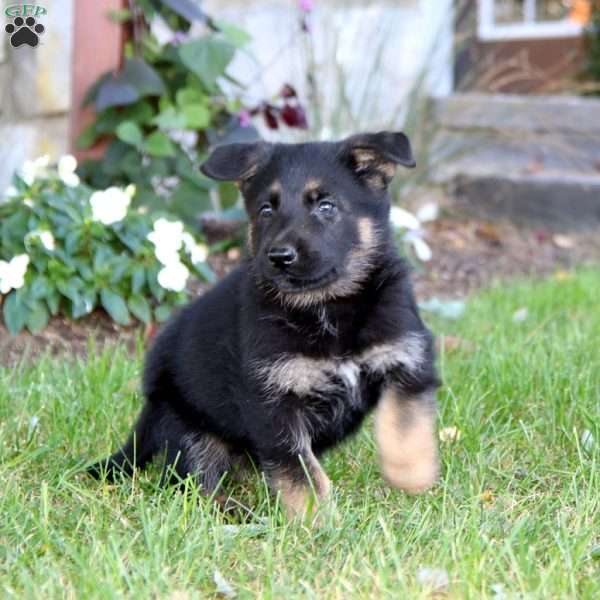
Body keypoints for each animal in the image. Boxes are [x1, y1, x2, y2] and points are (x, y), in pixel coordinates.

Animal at [91, 134, 442, 516]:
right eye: (266, 210)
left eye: (326, 206)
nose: (279, 256)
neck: (326, 307)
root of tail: (149, 413)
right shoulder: (273, 402)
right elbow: (300, 472)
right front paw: (319, 519)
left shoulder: (406, 358)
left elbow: (405, 422)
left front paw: (411, 474)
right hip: (186, 425)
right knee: (190, 483)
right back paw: (233, 509)